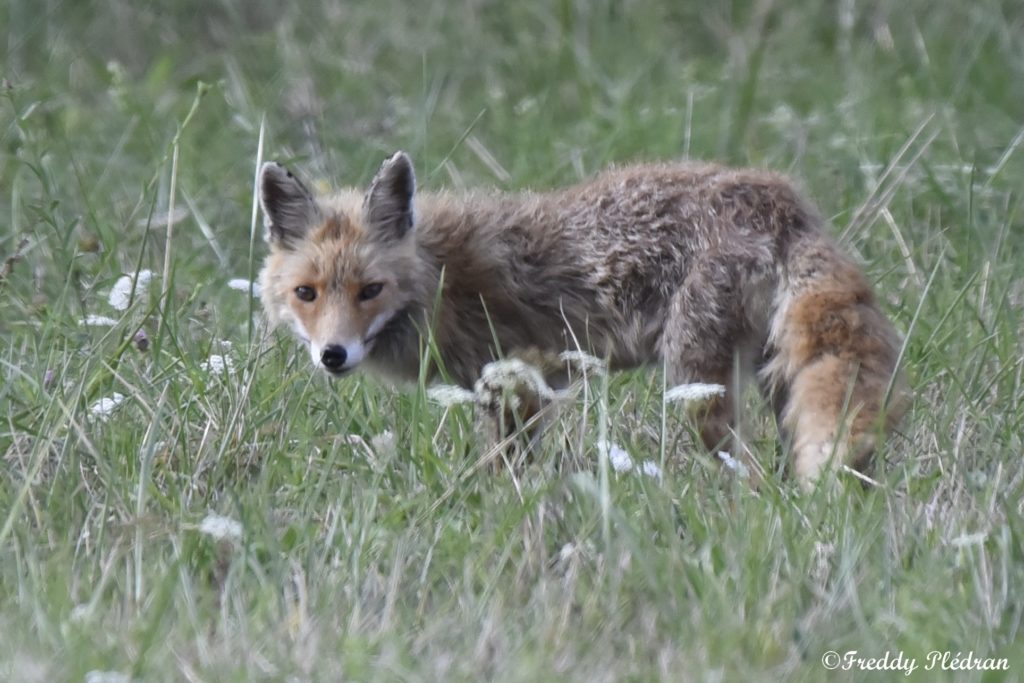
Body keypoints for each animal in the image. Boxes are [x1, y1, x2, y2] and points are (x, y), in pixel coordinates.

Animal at [257, 151, 909, 487]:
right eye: (307, 293)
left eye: (369, 290)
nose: (332, 355)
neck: (443, 277)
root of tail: (781, 200)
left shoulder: (520, 382)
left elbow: (500, 473)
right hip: (774, 379)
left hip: (696, 385)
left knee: (745, 471)